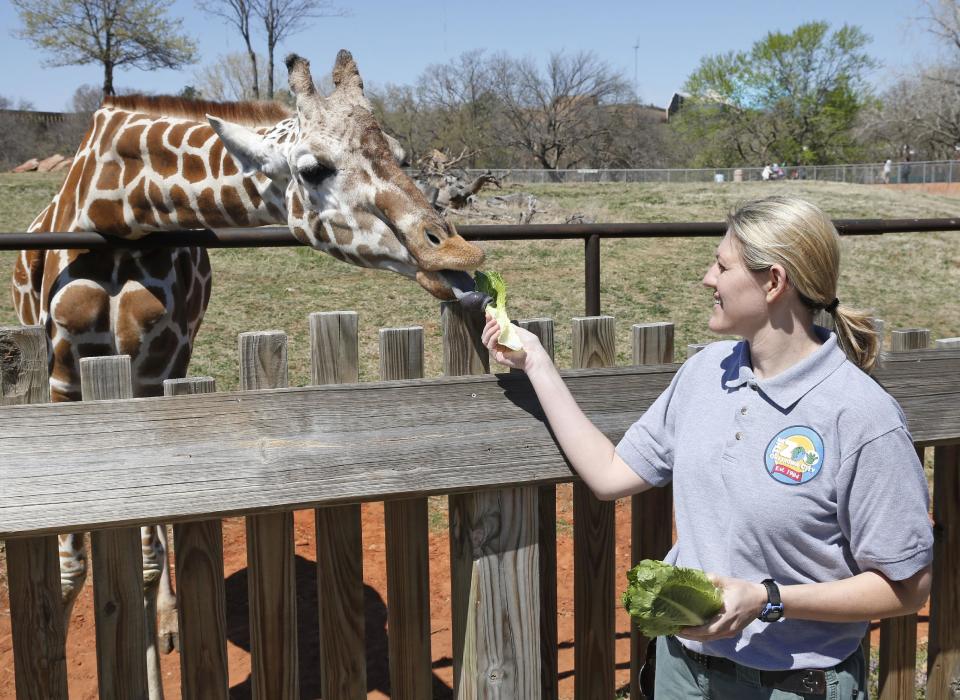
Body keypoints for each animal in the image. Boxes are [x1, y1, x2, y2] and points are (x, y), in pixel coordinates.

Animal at [11, 50, 484, 700]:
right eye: (313, 169)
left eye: (402, 154)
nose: (455, 253)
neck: (121, 213)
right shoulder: (61, 375)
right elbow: (67, 567)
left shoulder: (157, 366)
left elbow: (145, 554)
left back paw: (170, 624)